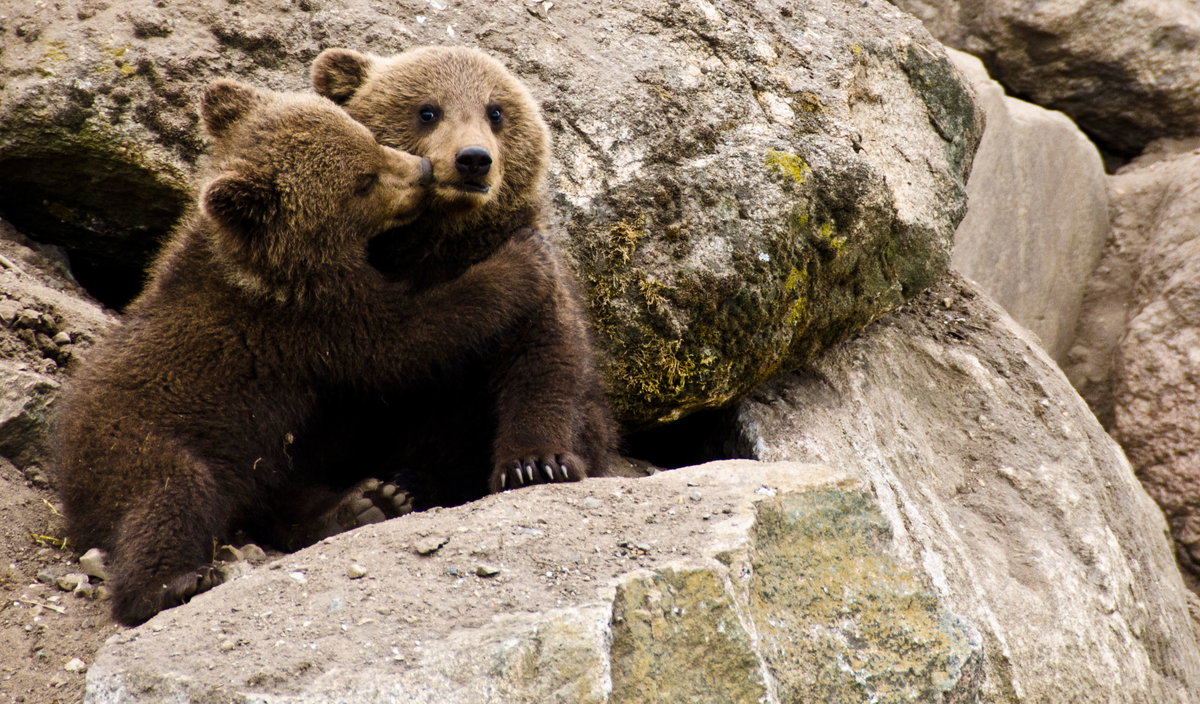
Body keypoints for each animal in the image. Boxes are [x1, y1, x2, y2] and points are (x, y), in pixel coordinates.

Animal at [54, 78, 556, 626]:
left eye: (367, 136)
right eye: (363, 181)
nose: (422, 172)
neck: (276, 263)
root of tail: (66, 473)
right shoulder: (311, 318)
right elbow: (410, 338)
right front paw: (521, 257)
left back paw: (370, 500)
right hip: (138, 445)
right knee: (169, 499)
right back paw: (174, 584)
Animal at [307, 45, 618, 506]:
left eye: (495, 111)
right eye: (427, 111)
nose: (473, 159)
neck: (441, 240)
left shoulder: (534, 270)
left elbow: (544, 355)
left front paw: (536, 462)